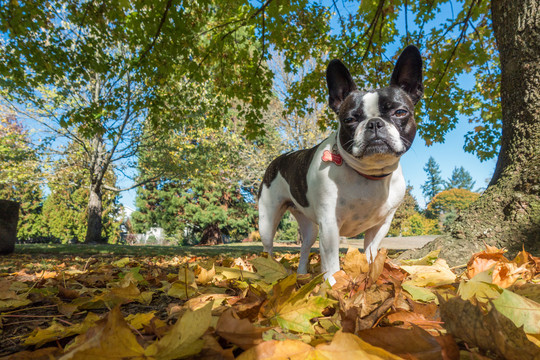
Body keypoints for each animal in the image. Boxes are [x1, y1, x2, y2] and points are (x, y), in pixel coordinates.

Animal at [256, 45, 422, 284]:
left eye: (400, 112)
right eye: (350, 120)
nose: (374, 123)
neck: (369, 174)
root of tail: (280, 158)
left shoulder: (381, 226)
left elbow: (371, 254)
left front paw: (371, 280)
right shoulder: (329, 225)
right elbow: (332, 264)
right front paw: (334, 288)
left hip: (309, 227)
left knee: (305, 248)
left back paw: (302, 275)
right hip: (268, 220)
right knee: (268, 249)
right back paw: (266, 276)